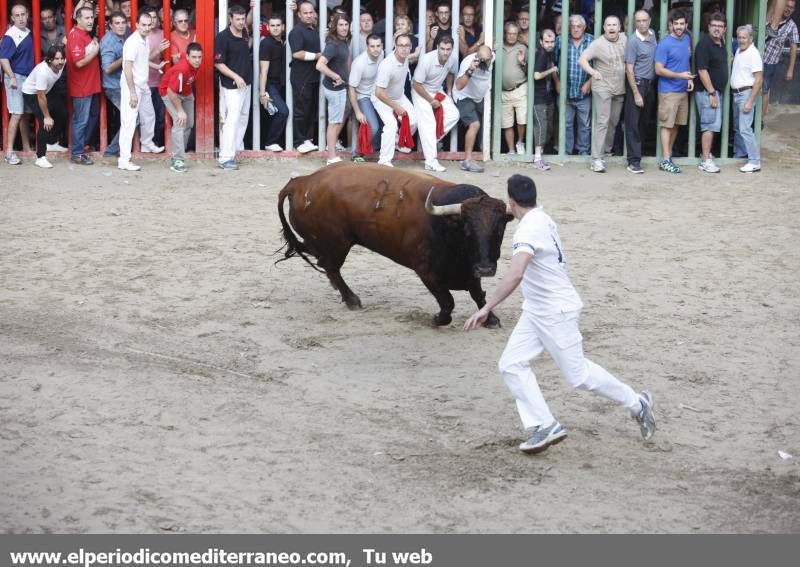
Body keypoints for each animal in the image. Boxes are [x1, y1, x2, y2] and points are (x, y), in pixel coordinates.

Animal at [276, 162, 512, 326]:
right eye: (467, 230)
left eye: (500, 230)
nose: (486, 269)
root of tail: (302, 182)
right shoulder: (427, 273)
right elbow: (448, 302)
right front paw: (438, 319)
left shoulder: (470, 272)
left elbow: (479, 296)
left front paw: (491, 319)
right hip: (337, 244)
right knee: (329, 265)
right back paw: (352, 299)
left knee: (315, 256)